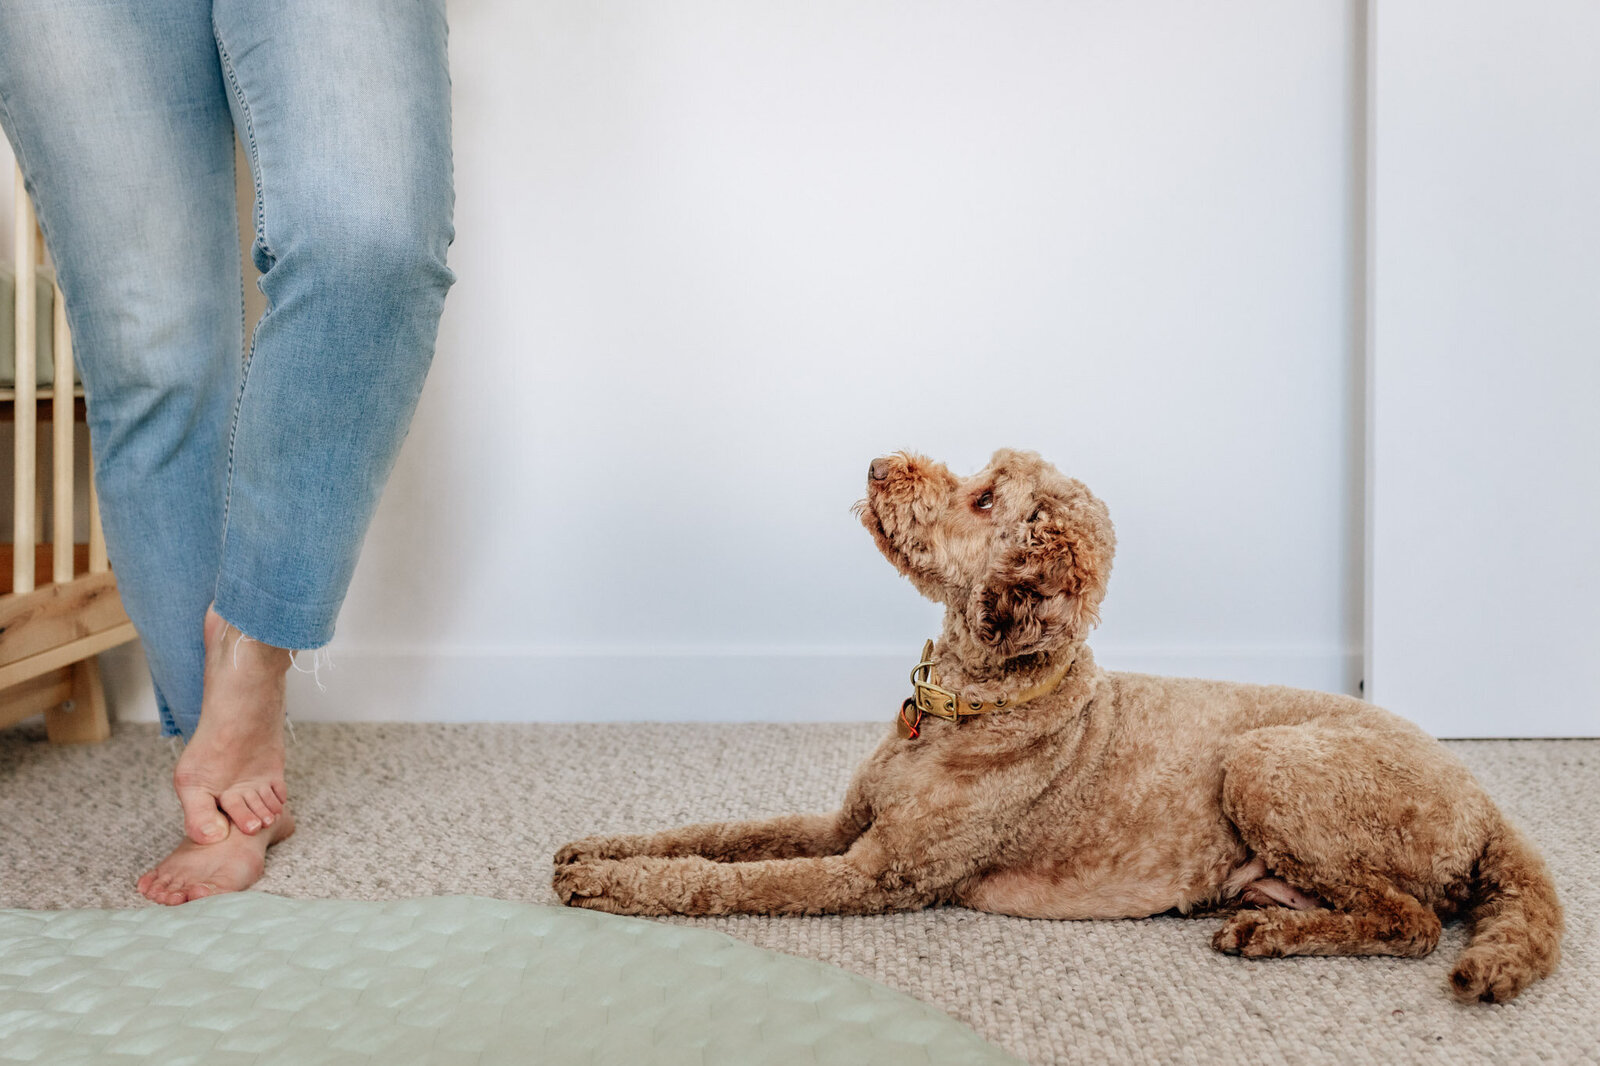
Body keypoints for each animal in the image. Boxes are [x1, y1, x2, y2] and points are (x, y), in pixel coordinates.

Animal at [553, 444, 1561, 998]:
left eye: (983, 499)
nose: (877, 463)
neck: (971, 704)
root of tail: (1485, 807)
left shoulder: (876, 874)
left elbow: (722, 881)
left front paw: (612, 886)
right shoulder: (843, 826)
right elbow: (719, 833)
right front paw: (601, 847)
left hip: (1266, 762)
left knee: (1412, 923)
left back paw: (1270, 938)